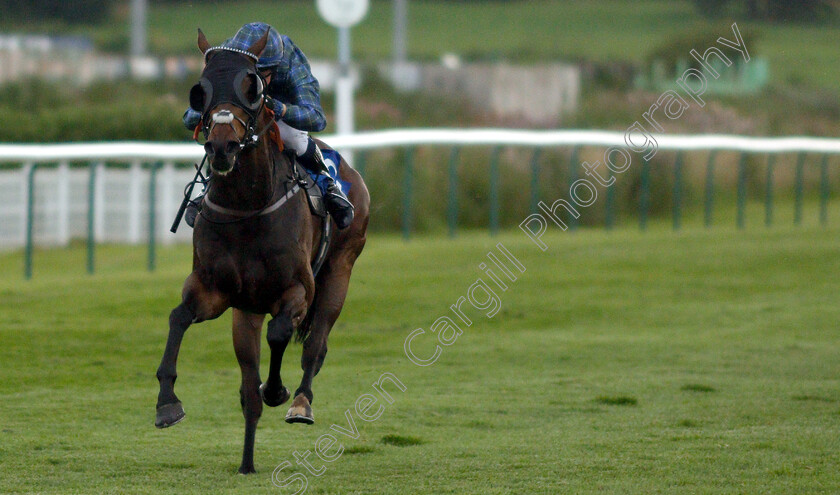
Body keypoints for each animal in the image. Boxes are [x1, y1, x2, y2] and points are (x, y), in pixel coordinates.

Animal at [155, 28, 370, 476]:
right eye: (200, 89)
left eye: (253, 88)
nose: (221, 147)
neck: (247, 207)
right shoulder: (216, 290)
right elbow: (178, 317)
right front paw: (167, 404)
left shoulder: (297, 290)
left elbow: (281, 334)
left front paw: (276, 389)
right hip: (246, 309)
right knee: (250, 382)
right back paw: (247, 462)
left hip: (340, 272)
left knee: (315, 345)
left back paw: (300, 402)